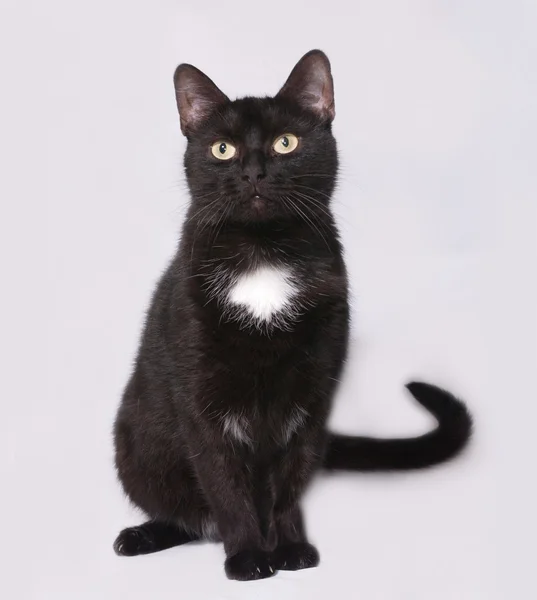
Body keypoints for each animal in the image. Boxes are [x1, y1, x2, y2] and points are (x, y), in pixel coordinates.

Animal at [112, 49, 468, 580]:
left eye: (286, 143)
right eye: (222, 149)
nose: (254, 173)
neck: (263, 255)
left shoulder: (313, 395)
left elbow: (290, 479)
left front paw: (290, 549)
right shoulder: (200, 400)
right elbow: (224, 484)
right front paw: (248, 558)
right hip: (135, 443)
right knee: (190, 516)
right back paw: (141, 536)